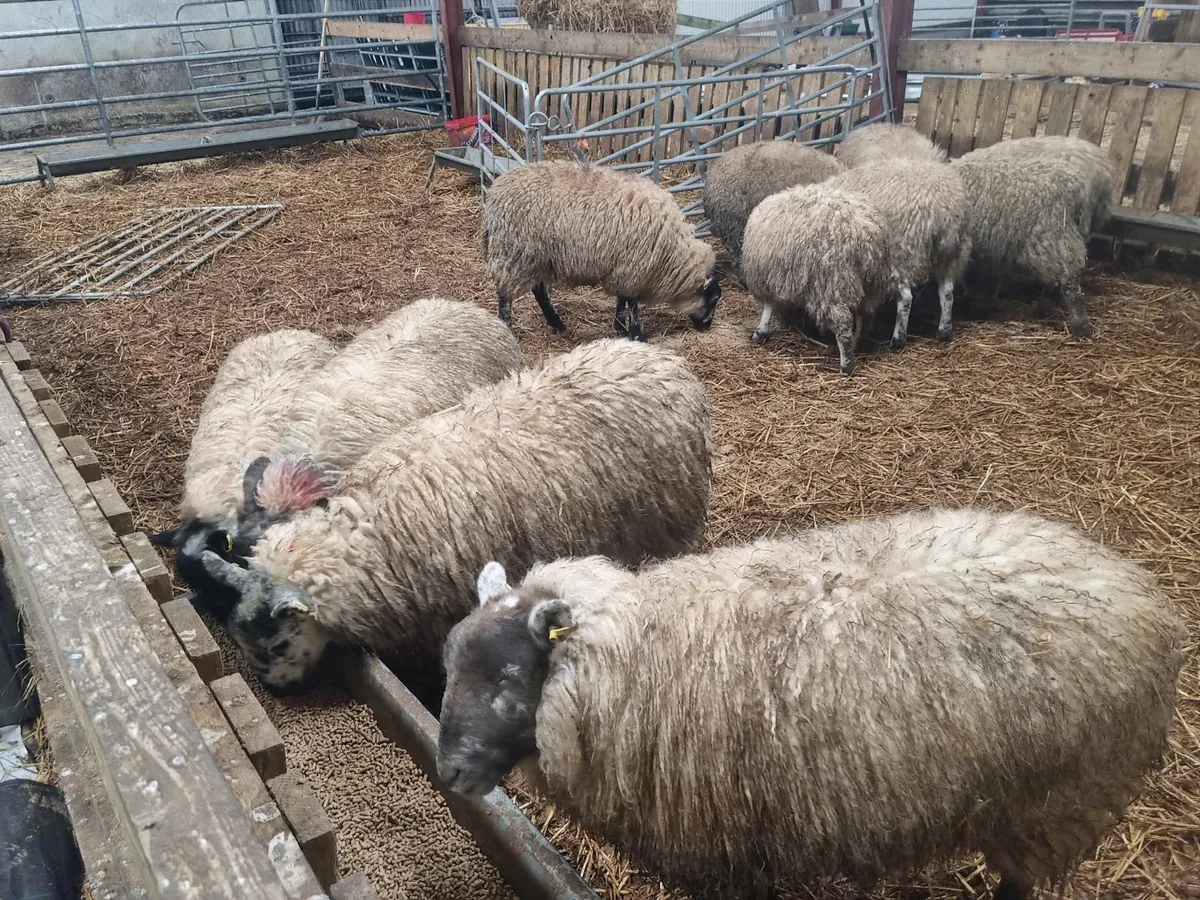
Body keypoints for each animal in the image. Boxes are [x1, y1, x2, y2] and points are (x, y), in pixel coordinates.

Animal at [435, 507, 1183, 898]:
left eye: (508, 680)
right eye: (446, 664)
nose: (447, 773)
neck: (632, 653)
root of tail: (1136, 590)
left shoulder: (719, 850)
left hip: (1048, 806)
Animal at [482, 160, 722, 342]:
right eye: (713, 300)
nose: (707, 327)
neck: (672, 252)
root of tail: (496, 191)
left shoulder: (624, 269)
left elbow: (622, 300)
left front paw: (620, 327)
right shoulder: (635, 269)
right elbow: (632, 304)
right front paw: (636, 333)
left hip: (537, 256)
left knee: (539, 290)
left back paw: (557, 323)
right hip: (514, 250)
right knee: (505, 294)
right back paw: (506, 325)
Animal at [741, 182, 894, 374]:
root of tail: (863, 232)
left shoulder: (767, 274)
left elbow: (769, 305)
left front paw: (761, 331)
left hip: (832, 281)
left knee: (843, 321)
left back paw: (847, 364)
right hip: (871, 282)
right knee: (862, 313)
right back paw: (855, 343)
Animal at [828, 160, 971, 347]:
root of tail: (942, 210)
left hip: (901, 254)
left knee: (905, 298)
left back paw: (897, 340)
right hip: (951, 255)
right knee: (947, 293)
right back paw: (944, 331)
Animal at [951, 149, 1108, 337]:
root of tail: (1076, 186)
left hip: (1052, 233)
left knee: (1069, 279)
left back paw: (1080, 325)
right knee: (1056, 278)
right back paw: (1043, 309)